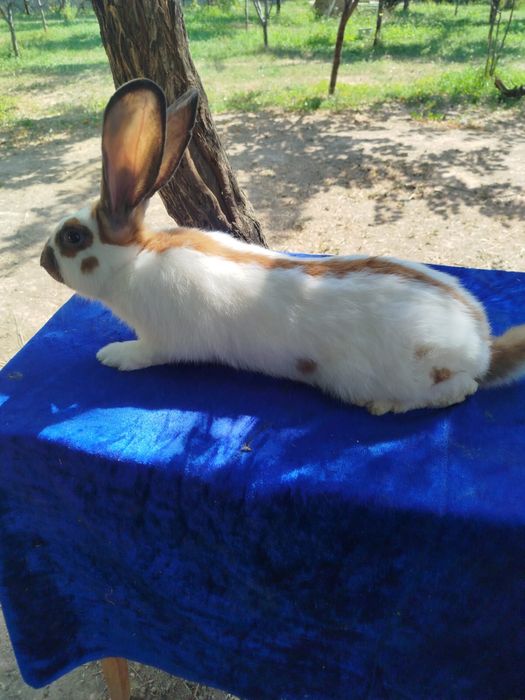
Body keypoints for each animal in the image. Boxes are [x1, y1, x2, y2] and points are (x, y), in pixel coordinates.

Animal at [40, 78, 525, 415]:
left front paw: (113, 355)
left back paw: (385, 405)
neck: (136, 260)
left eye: (73, 237)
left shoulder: (162, 341)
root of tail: (482, 346)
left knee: (461, 390)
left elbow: (144, 354)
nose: (43, 260)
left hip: (424, 374)